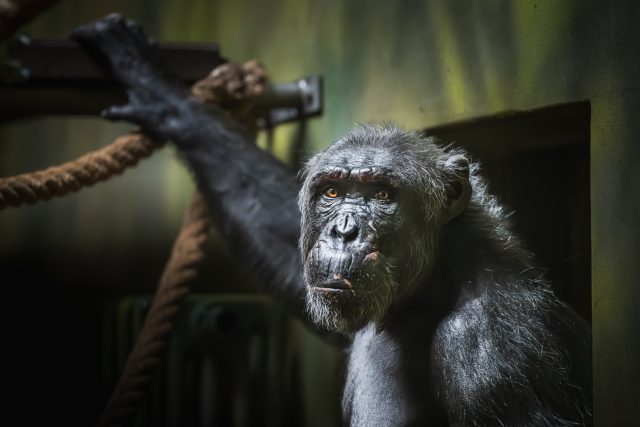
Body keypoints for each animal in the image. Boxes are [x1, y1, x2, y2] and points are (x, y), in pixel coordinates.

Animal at [72, 15, 592, 426]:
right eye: (333, 193)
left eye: (382, 194)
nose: (344, 230)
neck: (428, 291)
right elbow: (282, 234)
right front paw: (159, 89)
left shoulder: (496, 356)